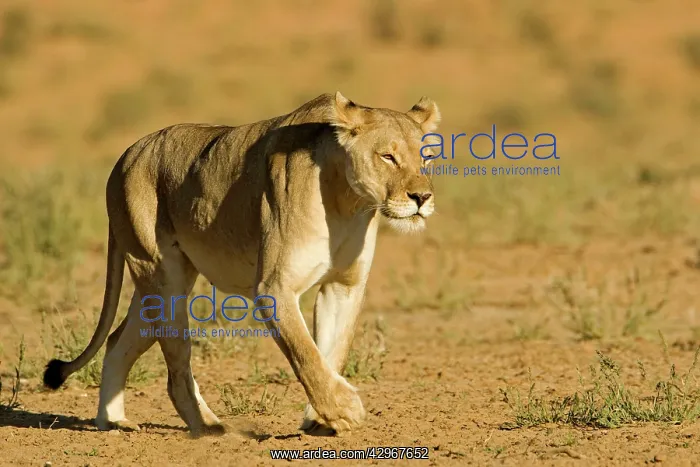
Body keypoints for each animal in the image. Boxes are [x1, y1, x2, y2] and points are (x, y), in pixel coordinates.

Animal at [43, 92, 440, 436]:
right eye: (387, 157)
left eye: (426, 160)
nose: (421, 197)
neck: (347, 202)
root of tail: (126, 155)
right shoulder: (274, 288)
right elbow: (306, 354)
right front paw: (346, 410)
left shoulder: (343, 286)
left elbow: (331, 352)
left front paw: (321, 420)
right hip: (160, 274)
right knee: (176, 369)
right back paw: (208, 427)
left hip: (157, 286)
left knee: (116, 342)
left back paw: (112, 422)